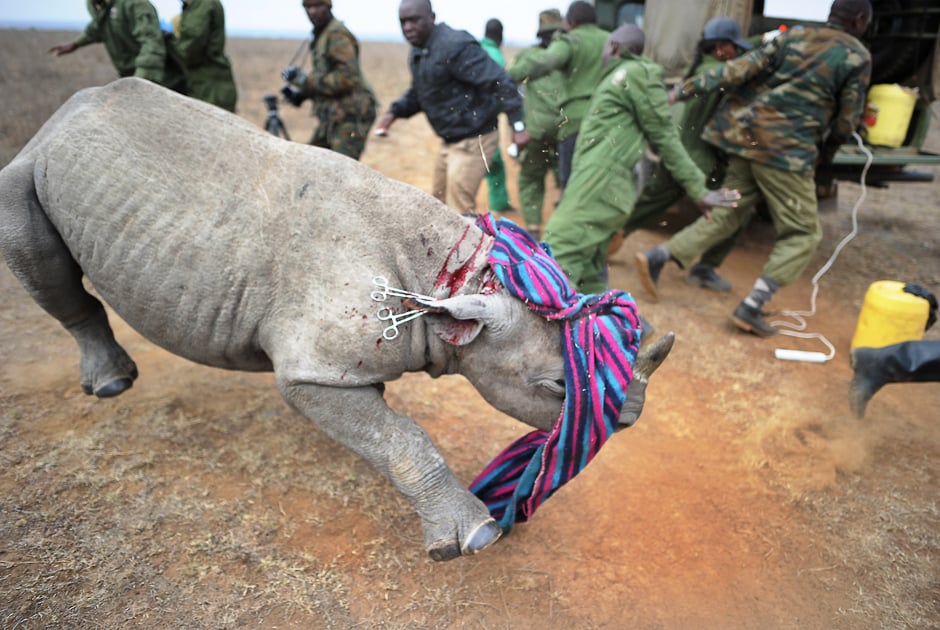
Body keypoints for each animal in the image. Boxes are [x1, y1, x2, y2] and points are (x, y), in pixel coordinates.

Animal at [1, 78, 676, 564]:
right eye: (560, 388)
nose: (632, 417)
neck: (451, 278)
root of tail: (66, 112)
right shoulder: (315, 373)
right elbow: (402, 439)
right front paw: (474, 538)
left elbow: (392, 434)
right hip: (28, 169)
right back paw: (113, 384)